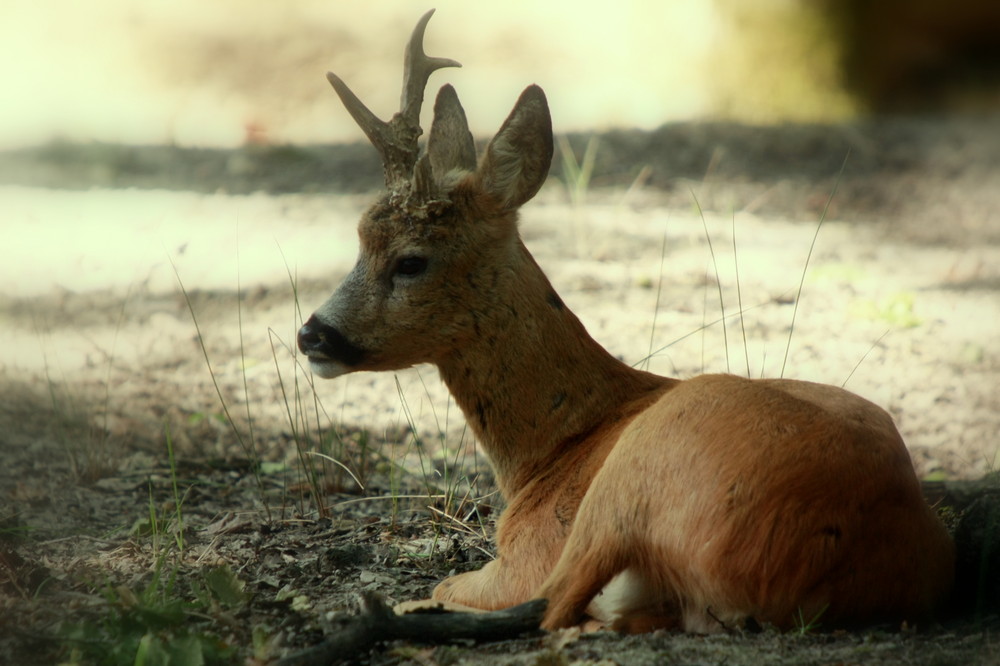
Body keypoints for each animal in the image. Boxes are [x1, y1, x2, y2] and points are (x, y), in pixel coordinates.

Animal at [296, 10, 952, 632]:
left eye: (411, 260)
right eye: (360, 239)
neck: (551, 450)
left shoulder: (528, 550)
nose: (312, 334)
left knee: (551, 603)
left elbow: (453, 582)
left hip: (630, 476)